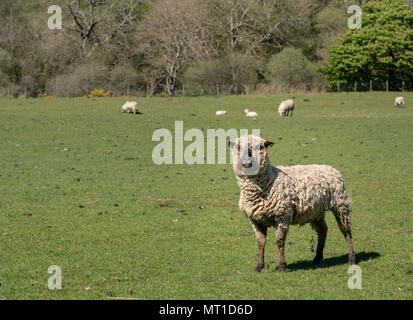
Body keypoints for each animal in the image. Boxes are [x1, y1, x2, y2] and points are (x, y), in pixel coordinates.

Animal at [229, 135, 354, 272]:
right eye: (238, 147)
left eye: (260, 147)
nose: (247, 163)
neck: (269, 181)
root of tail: (330, 167)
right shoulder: (255, 220)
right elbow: (260, 243)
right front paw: (258, 267)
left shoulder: (283, 216)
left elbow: (279, 241)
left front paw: (282, 266)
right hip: (316, 212)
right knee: (323, 230)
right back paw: (317, 258)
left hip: (340, 204)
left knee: (346, 231)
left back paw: (351, 259)